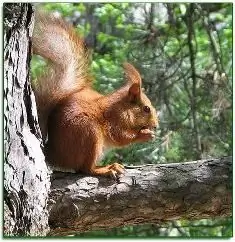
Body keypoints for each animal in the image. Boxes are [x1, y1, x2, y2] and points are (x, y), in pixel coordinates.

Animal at [32, 11, 158, 178]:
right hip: (89, 133)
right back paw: (106, 168)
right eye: (146, 109)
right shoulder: (114, 119)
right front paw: (144, 134)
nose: (156, 126)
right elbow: (120, 136)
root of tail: (54, 154)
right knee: (86, 169)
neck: (121, 107)